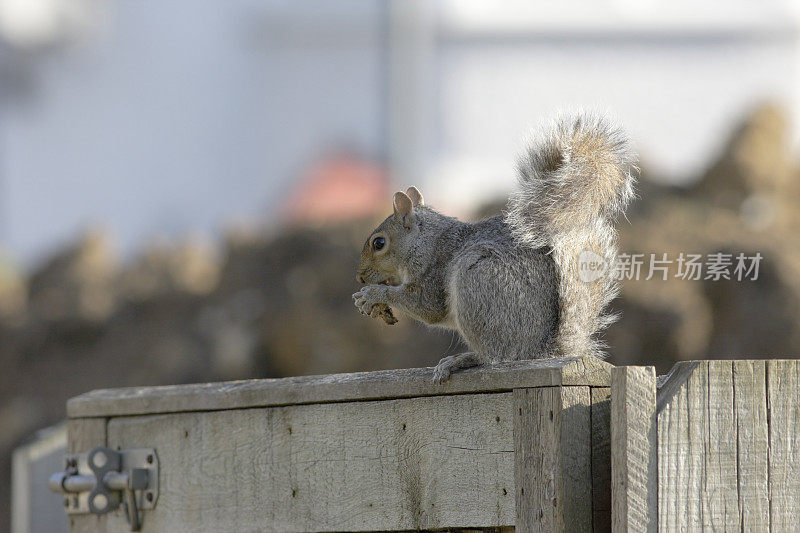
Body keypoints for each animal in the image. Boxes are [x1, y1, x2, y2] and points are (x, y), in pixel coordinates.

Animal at [354, 112, 636, 380]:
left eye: (379, 243)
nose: (360, 277)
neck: (427, 241)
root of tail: (539, 351)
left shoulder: (433, 273)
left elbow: (428, 308)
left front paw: (373, 294)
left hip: (478, 283)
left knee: (495, 357)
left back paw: (463, 359)